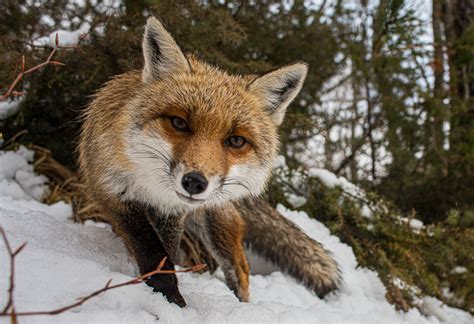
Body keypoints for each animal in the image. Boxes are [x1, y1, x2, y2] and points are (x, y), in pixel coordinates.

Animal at [78, 16, 338, 308]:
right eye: (179, 123)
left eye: (236, 141)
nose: (194, 182)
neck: (152, 186)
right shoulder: (112, 192)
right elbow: (151, 249)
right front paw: (167, 297)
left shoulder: (173, 212)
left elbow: (165, 254)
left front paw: (169, 301)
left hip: (214, 221)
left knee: (240, 267)